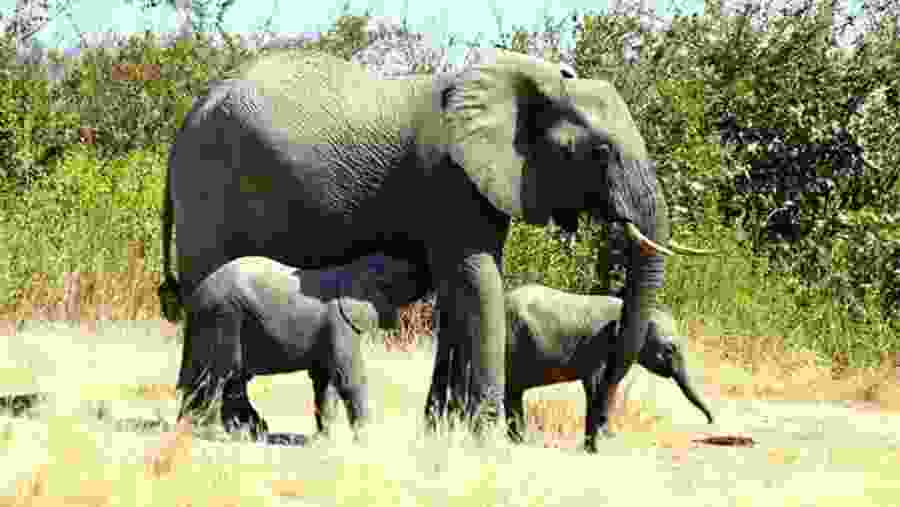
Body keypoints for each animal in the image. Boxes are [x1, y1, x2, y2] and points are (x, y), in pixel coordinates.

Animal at [176, 254, 432, 442]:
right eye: (401, 280)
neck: (357, 269)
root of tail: (196, 297)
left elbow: (324, 381)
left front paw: (324, 440)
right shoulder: (340, 324)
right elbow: (348, 378)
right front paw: (366, 441)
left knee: (214, 380)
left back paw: (198, 429)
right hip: (225, 319)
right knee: (217, 378)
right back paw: (211, 433)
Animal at [426, 284, 713, 452]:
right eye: (670, 349)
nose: (711, 422)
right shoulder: (598, 347)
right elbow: (597, 386)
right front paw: (597, 449)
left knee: (511, 393)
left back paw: (518, 442)